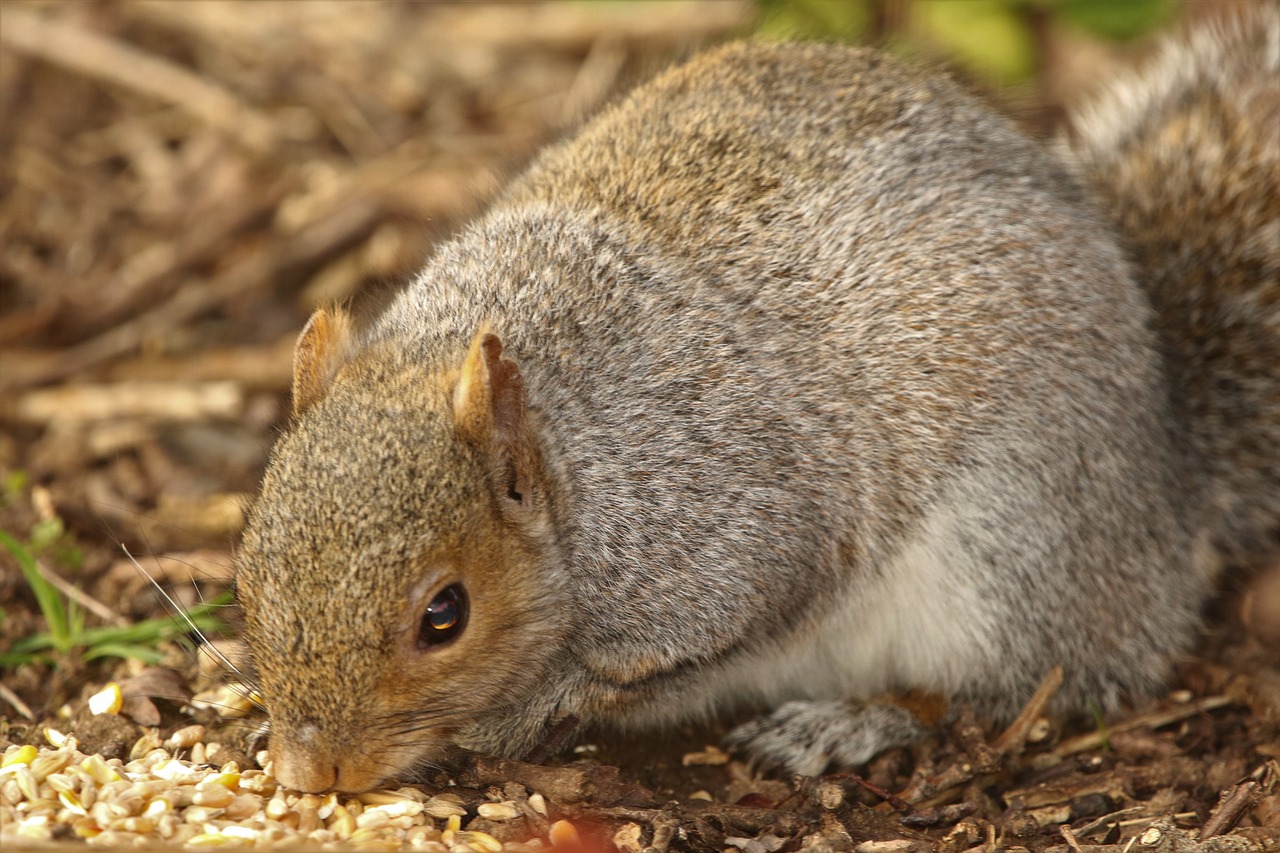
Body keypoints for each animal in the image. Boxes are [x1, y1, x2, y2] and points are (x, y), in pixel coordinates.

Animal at [232, 6, 1280, 788]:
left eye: (443, 616)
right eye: (248, 566)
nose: (309, 772)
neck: (577, 450)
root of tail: (1170, 479)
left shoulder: (737, 524)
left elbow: (718, 629)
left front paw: (530, 705)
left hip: (1011, 554)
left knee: (1008, 685)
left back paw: (852, 720)